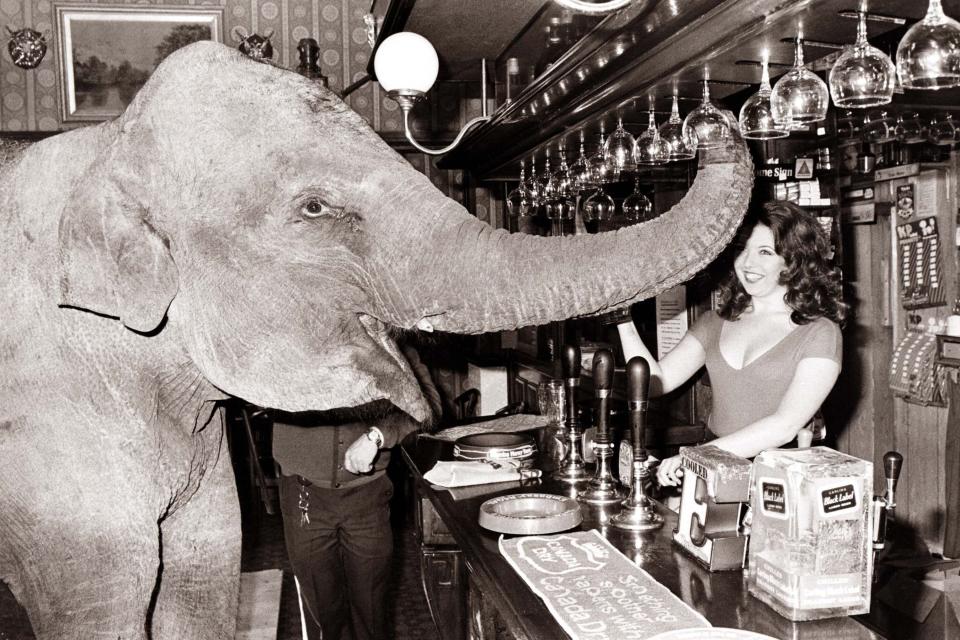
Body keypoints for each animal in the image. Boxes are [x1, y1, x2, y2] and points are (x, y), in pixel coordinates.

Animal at [0, 41, 752, 640]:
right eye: (314, 208)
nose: (712, 122)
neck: (109, 144)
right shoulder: (51, 445)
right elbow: (103, 614)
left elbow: (202, 590)